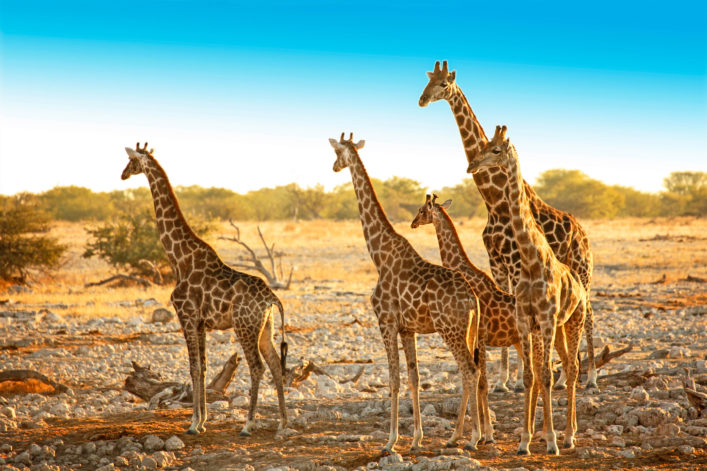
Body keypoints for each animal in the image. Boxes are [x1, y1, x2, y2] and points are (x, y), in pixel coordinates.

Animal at [121, 142, 288, 436]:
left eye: (131, 161)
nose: (122, 175)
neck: (179, 259)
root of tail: (272, 298)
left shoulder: (186, 315)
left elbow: (194, 367)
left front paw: (193, 424)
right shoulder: (200, 322)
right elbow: (204, 367)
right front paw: (202, 421)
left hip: (244, 326)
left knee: (257, 367)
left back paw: (248, 424)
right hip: (264, 328)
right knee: (276, 364)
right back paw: (282, 422)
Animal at [328, 133, 482, 453]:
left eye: (337, 152)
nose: (334, 167)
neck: (378, 254)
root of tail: (472, 299)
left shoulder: (385, 322)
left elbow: (394, 380)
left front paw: (390, 441)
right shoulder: (407, 328)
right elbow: (414, 377)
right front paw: (416, 439)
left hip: (450, 330)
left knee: (470, 370)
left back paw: (473, 437)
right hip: (468, 331)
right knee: (471, 370)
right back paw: (463, 436)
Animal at [410, 193, 524, 443]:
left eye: (422, 210)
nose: (412, 223)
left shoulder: (480, 336)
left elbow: (480, 383)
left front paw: (484, 434)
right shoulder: (477, 339)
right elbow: (474, 381)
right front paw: (477, 433)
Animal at [419, 60, 597, 390]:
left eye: (444, 84)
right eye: (427, 80)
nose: (422, 100)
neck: (494, 200)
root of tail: (582, 233)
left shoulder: (515, 263)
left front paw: (517, 379)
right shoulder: (497, 264)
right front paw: (504, 380)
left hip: (582, 268)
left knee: (589, 313)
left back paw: (590, 376)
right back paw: (564, 376)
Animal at [476, 126, 587, 455]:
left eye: (496, 150)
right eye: (484, 145)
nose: (472, 165)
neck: (531, 258)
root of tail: (579, 285)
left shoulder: (546, 319)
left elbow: (547, 377)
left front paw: (550, 440)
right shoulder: (526, 320)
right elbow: (529, 376)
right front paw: (524, 441)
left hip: (573, 321)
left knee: (572, 368)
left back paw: (568, 436)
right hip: (558, 328)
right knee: (563, 365)